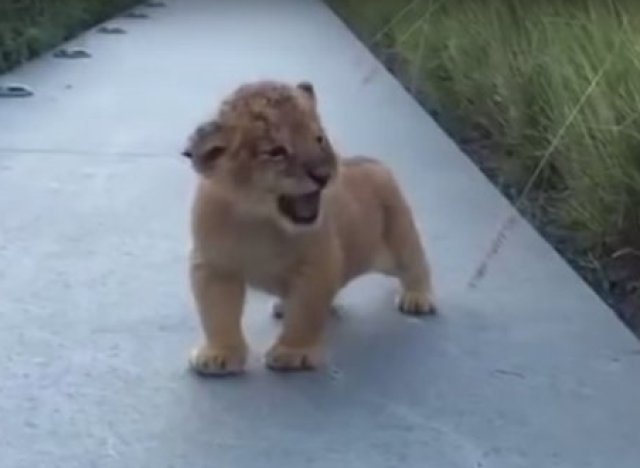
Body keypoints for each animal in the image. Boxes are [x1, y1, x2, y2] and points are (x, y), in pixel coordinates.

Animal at [182, 80, 435, 375]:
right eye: (276, 151)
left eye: (319, 139)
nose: (323, 175)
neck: (259, 220)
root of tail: (372, 161)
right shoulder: (214, 266)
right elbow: (217, 314)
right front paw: (219, 355)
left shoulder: (317, 265)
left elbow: (305, 313)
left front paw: (293, 353)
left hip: (398, 235)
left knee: (415, 265)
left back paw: (417, 298)